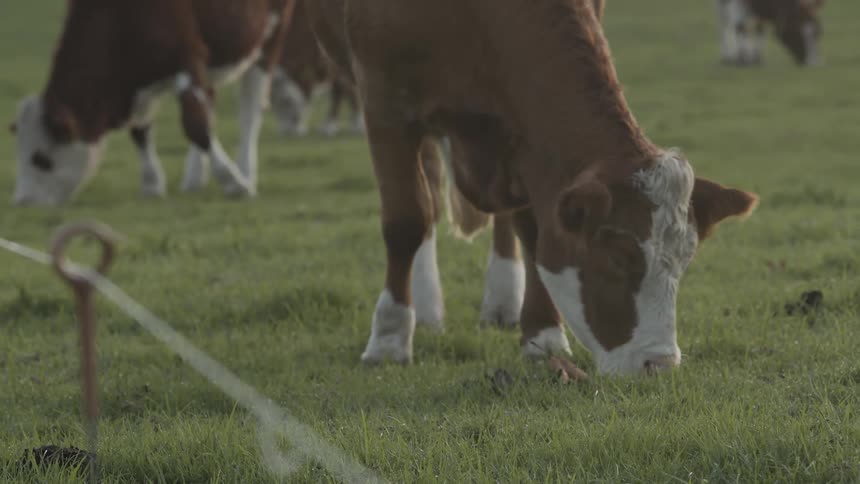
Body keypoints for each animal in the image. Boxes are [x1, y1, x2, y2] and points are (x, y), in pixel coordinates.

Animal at [10, 0, 296, 206]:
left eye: (41, 159)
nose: (23, 201)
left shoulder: (189, 58)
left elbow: (197, 127)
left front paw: (234, 182)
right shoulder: (139, 80)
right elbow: (140, 130)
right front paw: (152, 184)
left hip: (271, 34)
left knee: (249, 108)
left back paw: (246, 169)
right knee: (210, 105)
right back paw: (194, 177)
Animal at [307, 0, 759, 376]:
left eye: (685, 263)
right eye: (616, 258)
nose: (660, 364)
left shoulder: (523, 133)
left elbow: (536, 231)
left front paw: (543, 337)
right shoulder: (383, 102)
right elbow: (405, 221)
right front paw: (389, 338)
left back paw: (502, 301)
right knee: (428, 197)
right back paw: (427, 306)